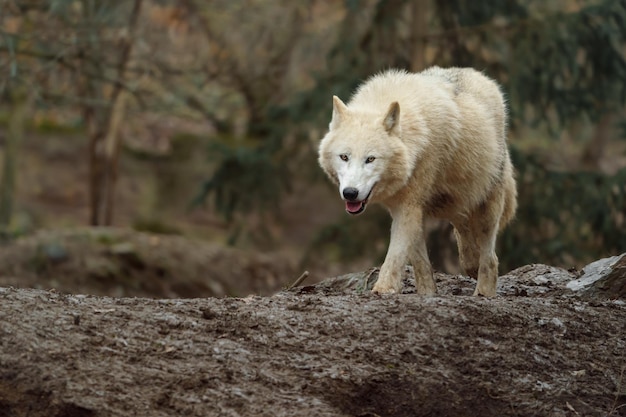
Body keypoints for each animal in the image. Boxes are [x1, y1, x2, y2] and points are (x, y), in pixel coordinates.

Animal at [320, 66, 516, 296]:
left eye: (370, 159)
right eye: (344, 157)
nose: (350, 193)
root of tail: (479, 75)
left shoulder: (408, 206)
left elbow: (395, 254)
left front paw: (383, 289)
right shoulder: (408, 207)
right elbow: (419, 262)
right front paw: (427, 293)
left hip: (485, 206)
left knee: (490, 257)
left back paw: (483, 291)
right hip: (448, 203)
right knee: (462, 225)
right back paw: (471, 264)